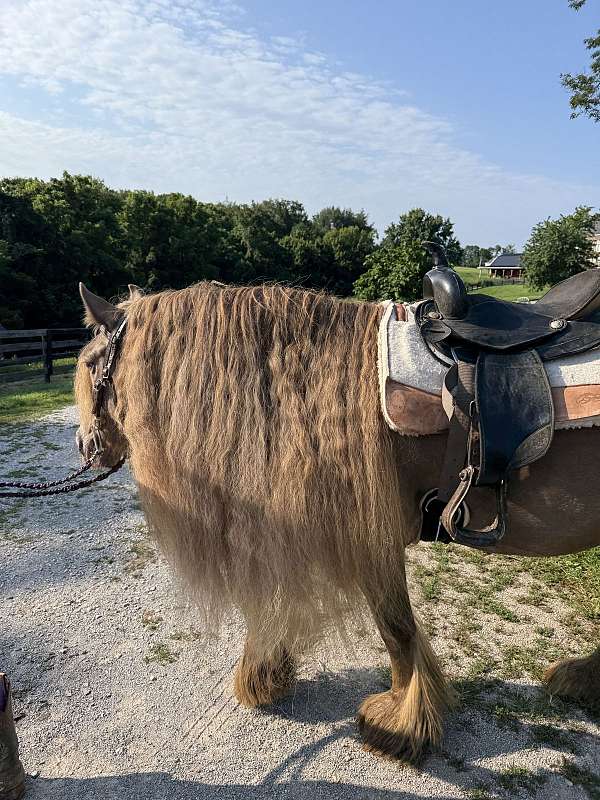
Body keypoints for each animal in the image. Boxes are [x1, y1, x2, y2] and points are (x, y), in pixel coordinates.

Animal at [74, 281, 600, 762]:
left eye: (88, 362)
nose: (85, 446)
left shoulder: (369, 535)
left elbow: (395, 627)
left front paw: (399, 722)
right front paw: (266, 672)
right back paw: (580, 678)